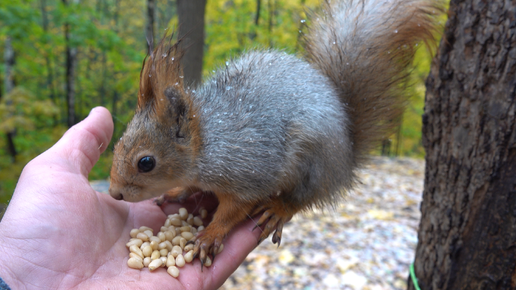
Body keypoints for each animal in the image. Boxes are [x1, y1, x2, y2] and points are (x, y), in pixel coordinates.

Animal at [108, 0, 440, 268]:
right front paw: (178, 191)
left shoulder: (249, 173)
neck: (208, 144)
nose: (114, 194)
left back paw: (278, 208)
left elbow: (234, 210)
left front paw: (210, 235)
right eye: (117, 145)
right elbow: (191, 187)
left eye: (146, 163)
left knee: (303, 199)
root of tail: (344, 157)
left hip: (311, 163)